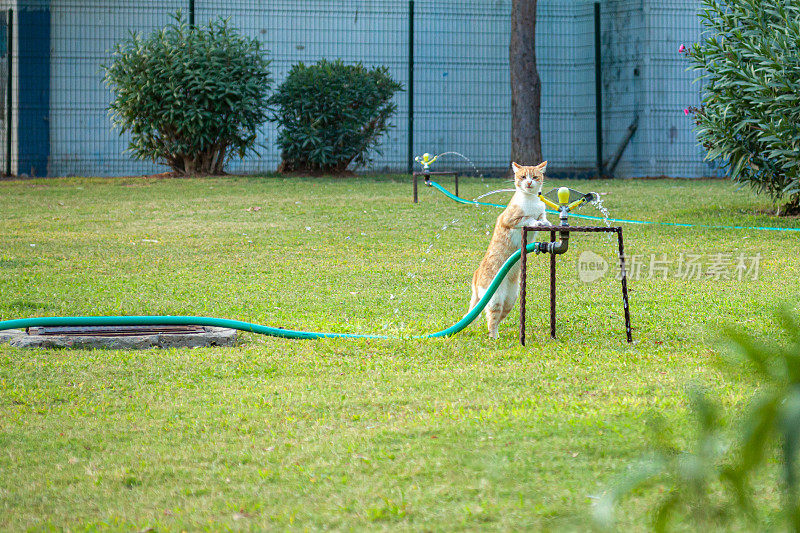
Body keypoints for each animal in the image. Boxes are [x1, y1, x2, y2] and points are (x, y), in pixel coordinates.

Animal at [468, 160, 552, 338]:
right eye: (523, 177)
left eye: (535, 177)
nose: (529, 183)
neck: (531, 200)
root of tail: (476, 273)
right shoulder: (510, 219)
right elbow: (529, 218)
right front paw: (535, 220)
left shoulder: (541, 211)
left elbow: (542, 216)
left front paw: (545, 222)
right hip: (495, 299)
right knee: (491, 319)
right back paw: (494, 337)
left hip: (511, 299)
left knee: (498, 317)